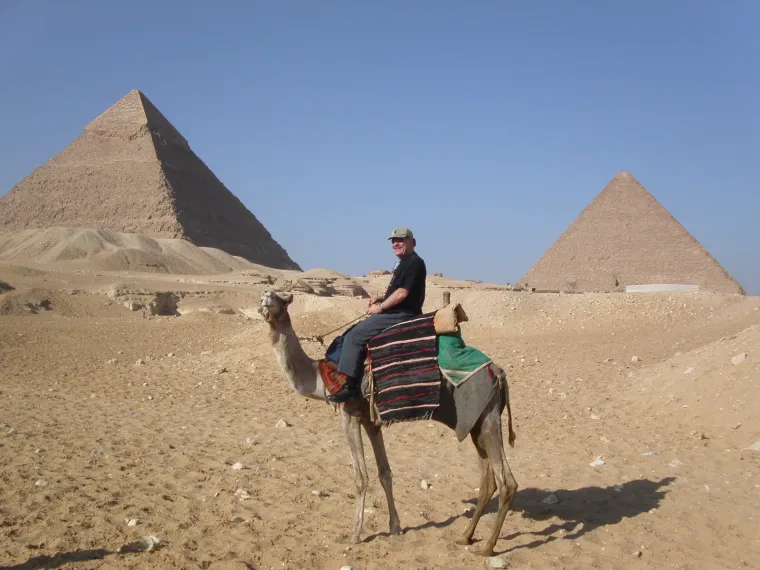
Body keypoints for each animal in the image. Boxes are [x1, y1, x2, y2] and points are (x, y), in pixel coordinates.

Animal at [258, 288, 520, 556]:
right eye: (267, 296)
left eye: (281, 299)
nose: (265, 299)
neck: (320, 377)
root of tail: (499, 373)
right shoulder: (371, 421)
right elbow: (385, 472)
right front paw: (395, 527)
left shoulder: (348, 414)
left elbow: (361, 477)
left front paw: (355, 534)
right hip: (475, 422)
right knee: (488, 480)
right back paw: (465, 537)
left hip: (486, 418)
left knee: (506, 482)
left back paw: (487, 547)